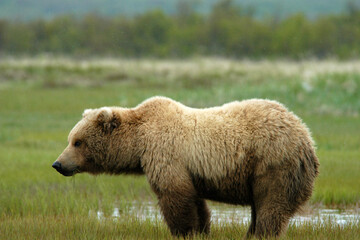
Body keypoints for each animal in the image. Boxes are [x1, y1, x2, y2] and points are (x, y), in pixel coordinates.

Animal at [52, 96, 318, 238]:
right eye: (70, 139)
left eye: (77, 142)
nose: (58, 163)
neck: (139, 143)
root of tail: (306, 136)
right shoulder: (191, 170)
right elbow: (196, 203)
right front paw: (202, 231)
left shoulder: (166, 154)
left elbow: (175, 197)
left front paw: (184, 231)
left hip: (273, 163)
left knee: (270, 207)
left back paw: (259, 234)